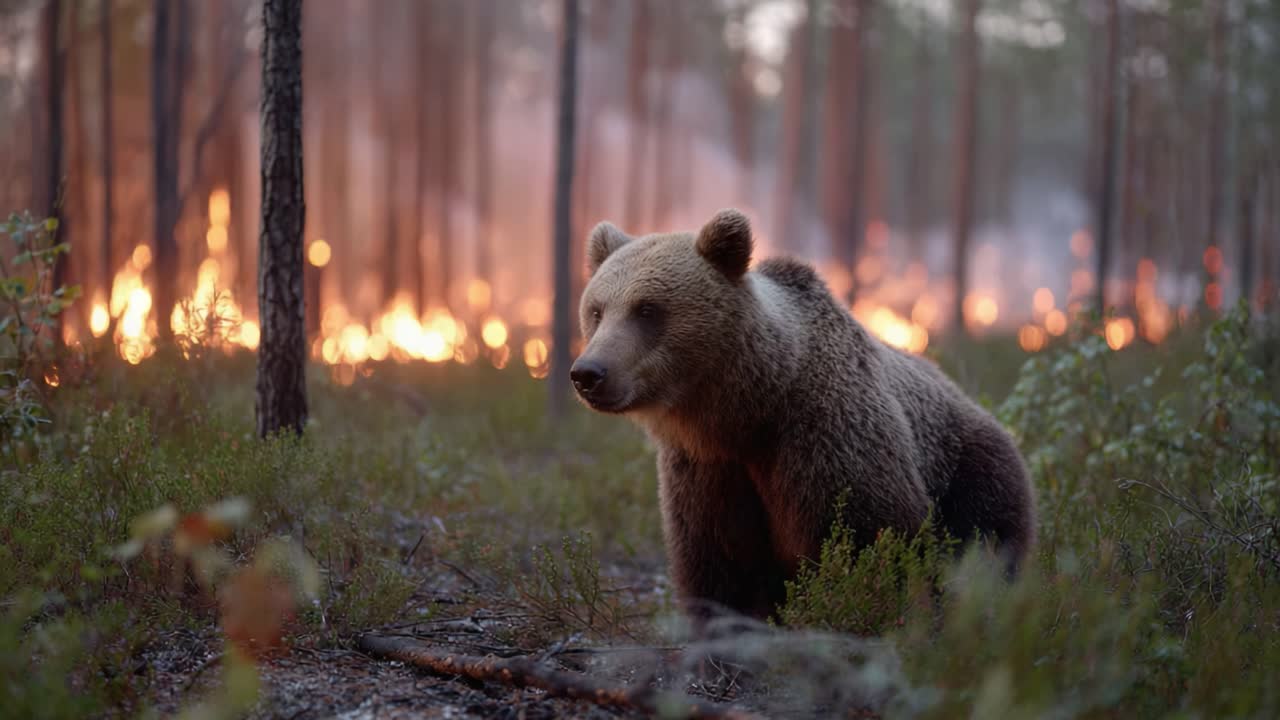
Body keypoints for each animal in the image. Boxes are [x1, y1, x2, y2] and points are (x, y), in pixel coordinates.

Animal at [570, 208, 1036, 625]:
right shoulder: (708, 471)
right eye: (596, 309)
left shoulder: (826, 440)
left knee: (983, 551)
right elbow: (719, 567)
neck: (746, 413)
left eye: (647, 309)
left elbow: (868, 542)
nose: (588, 373)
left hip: (971, 475)